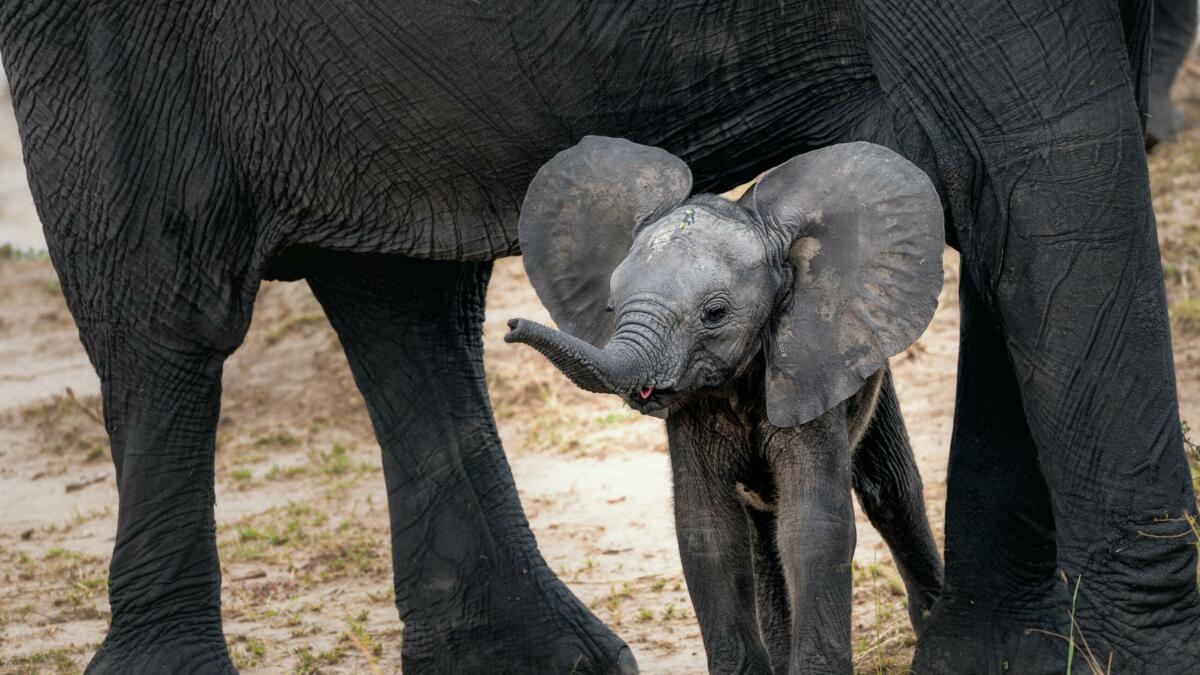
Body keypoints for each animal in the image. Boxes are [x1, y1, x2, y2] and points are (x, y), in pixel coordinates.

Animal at [505, 137, 947, 673]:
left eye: (715, 314)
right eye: (610, 307)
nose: (509, 326)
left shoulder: (809, 369)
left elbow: (814, 528)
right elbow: (707, 533)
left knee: (890, 491)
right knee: (761, 531)